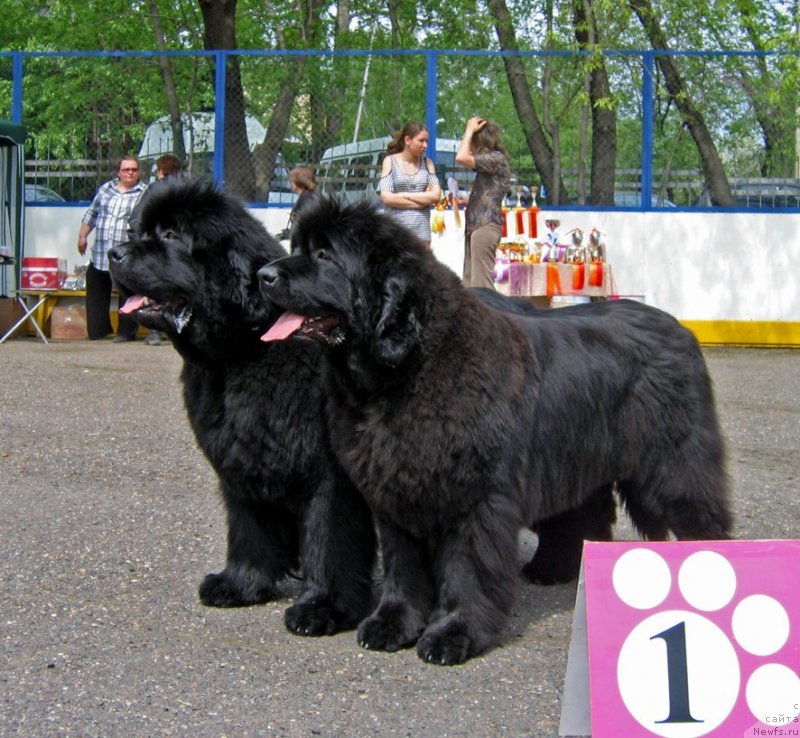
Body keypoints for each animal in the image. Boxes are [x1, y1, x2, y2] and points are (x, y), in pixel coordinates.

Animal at [107, 178, 378, 632]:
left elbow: (328, 537)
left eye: (172, 235)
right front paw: (241, 585)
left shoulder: (330, 475)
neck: (239, 356)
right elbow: (249, 528)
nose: (113, 252)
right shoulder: (240, 459)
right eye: (138, 231)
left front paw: (321, 607)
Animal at [260, 196, 736, 660]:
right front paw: (392, 624)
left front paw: (454, 634)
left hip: (674, 465)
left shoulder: (476, 496)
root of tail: (679, 328)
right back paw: (556, 571)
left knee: (700, 518)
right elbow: (402, 567)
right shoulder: (395, 491)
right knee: (586, 512)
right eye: (297, 247)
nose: (263, 275)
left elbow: (466, 569)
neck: (412, 368)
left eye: (325, 255)